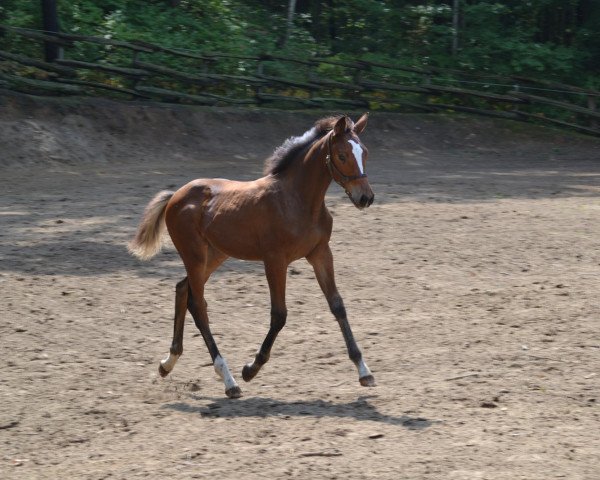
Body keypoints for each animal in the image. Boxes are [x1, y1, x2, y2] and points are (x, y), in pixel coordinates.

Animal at [129, 113, 378, 398]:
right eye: (341, 155)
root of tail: (175, 196)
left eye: (365, 152)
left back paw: (167, 363)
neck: (298, 201)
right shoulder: (275, 260)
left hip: (215, 255)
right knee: (198, 304)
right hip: (194, 256)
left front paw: (364, 371)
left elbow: (338, 305)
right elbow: (279, 314)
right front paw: (251, 368)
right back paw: (229, 380)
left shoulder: (321, 253)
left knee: (183, 289)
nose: (365, 197)